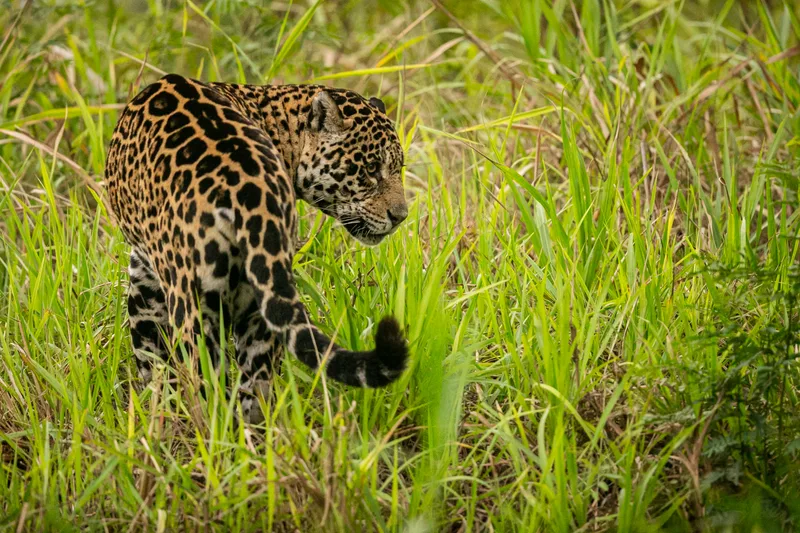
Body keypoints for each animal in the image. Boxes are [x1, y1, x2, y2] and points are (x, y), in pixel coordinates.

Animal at [105, 73, 409, 423]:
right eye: (371, 169)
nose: (401, 216)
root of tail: (250, 191)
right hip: (260, 296)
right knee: (256, 389)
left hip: (196, 306)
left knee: (209, 388)